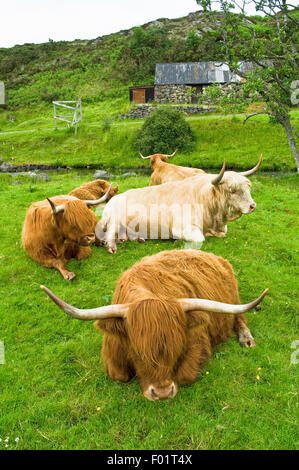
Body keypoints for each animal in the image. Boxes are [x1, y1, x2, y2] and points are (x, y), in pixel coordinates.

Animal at [40, 250, 270, 400]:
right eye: (137, 352)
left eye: (177, 349)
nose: (162, 393)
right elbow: (120, 375)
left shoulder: (198, 342)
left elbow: (185, 375)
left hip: (233, 297)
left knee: (239, 317)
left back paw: (247, 339)